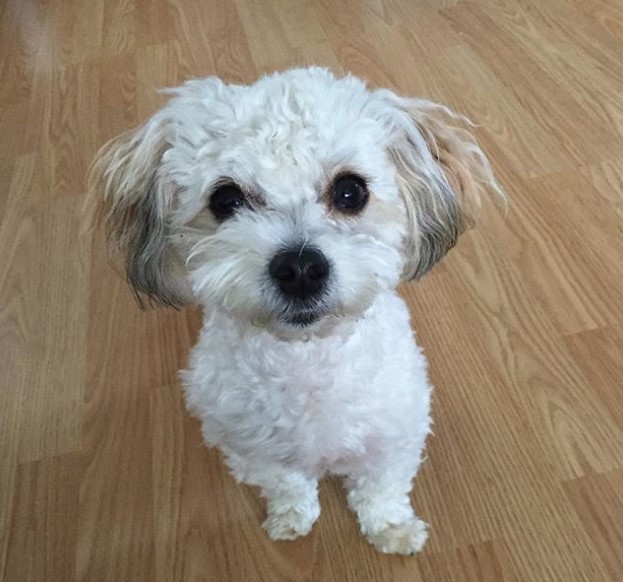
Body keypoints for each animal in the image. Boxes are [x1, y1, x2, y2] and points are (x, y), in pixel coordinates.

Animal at [86, 68, 502, 556]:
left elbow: (380, 488)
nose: (300, 268)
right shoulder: (254, 450)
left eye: (350, 191)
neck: (307, 362)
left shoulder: (393, 437)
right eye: (225, 200)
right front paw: (291, 517)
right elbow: (288, 485)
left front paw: (390, 527)